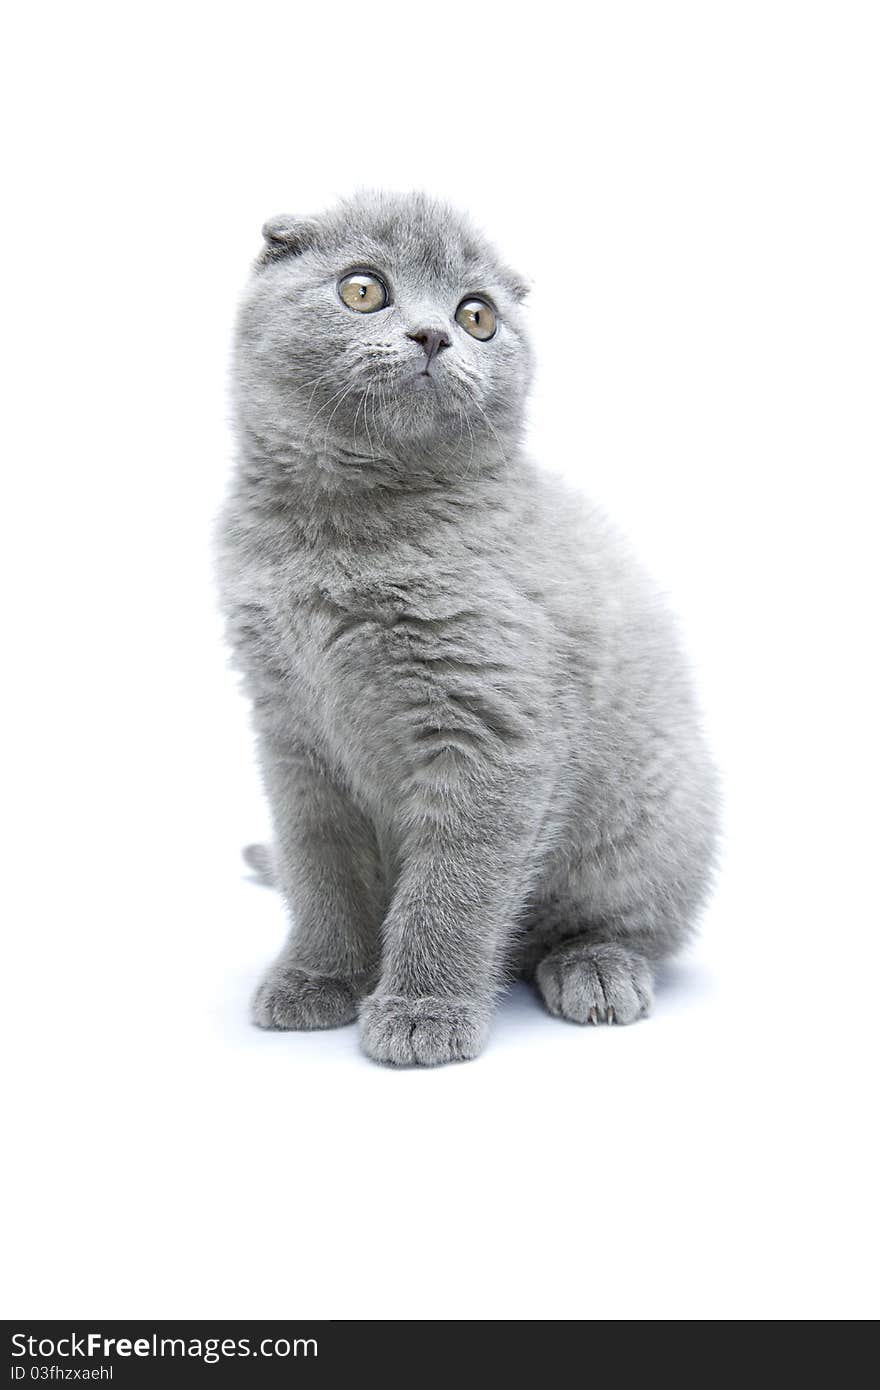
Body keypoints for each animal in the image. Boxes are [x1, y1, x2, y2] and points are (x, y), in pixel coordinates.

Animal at [216, 193, 717, 1061]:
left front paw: (424, 1009)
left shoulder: (491, 729)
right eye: (362, 290)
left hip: (655, 824)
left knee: (619, 926)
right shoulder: (292, 733)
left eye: (476, 315)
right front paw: (318, 977)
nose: (433, 335)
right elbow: (319, 869)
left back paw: (594, 970)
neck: (339, 533)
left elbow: (455, 886)